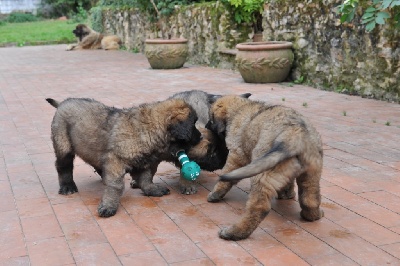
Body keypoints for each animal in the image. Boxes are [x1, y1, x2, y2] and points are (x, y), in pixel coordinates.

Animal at [47, 96, 202, 217]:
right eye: (192, 125)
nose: (201, 137)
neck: (148, 129)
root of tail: (63, 103)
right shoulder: (115, 160)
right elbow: (116, 185)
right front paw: (109, 205)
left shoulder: (142, 161)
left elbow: (146, 178)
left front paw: (152, 189)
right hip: (63, 144)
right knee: (63, 166)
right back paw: (67, 187)